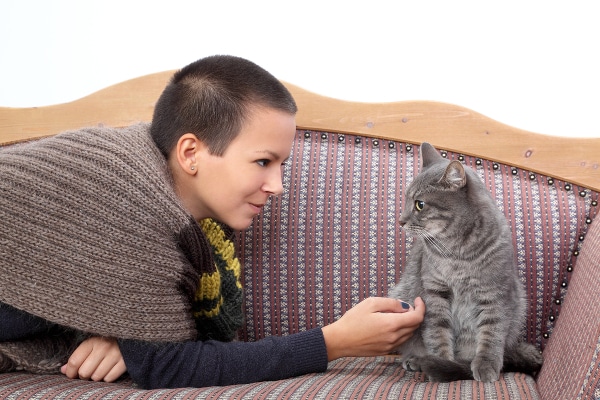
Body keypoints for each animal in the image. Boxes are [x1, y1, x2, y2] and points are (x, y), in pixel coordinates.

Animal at [390, 142, 544, 382]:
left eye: (420, 204)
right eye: (406, 200)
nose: (400, 221)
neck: (457, 253)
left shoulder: (494, 293)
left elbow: (491, 333)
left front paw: (484, 365)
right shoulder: (435, 292)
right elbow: (437, 332)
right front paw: (441, 361)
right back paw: (415, 360)